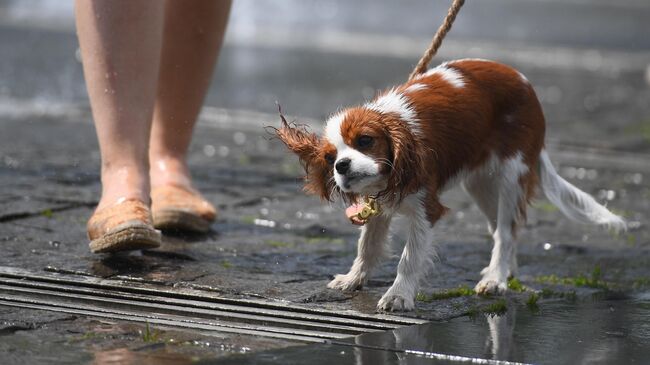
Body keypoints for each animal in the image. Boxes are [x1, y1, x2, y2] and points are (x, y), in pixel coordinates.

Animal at [272, 57, 624, 310]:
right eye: (330, 157)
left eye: (365, 141)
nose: (342, 166)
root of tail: (523, 82)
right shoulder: (379, 202)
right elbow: (367, 246)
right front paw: (353, 279)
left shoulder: (426, 208)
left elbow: (409, 258)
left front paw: (399, 296)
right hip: (480, 184)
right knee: (502, 229)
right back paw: (504, 272)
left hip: (511, 175)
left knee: (506, 231)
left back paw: (496, 279)